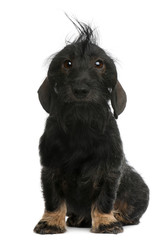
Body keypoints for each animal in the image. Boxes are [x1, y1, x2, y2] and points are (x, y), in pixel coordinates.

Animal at [33, 20, 149, 234]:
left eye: (99, 63)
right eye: (67, 63)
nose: (81, 90)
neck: (82, 124)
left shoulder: (110, 170)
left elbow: (105, 199)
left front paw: (106, 221)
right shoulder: (50, 168)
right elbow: (53, 199)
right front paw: (51, 222)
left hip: (139, 188)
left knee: (132, 214)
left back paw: (118, 215)